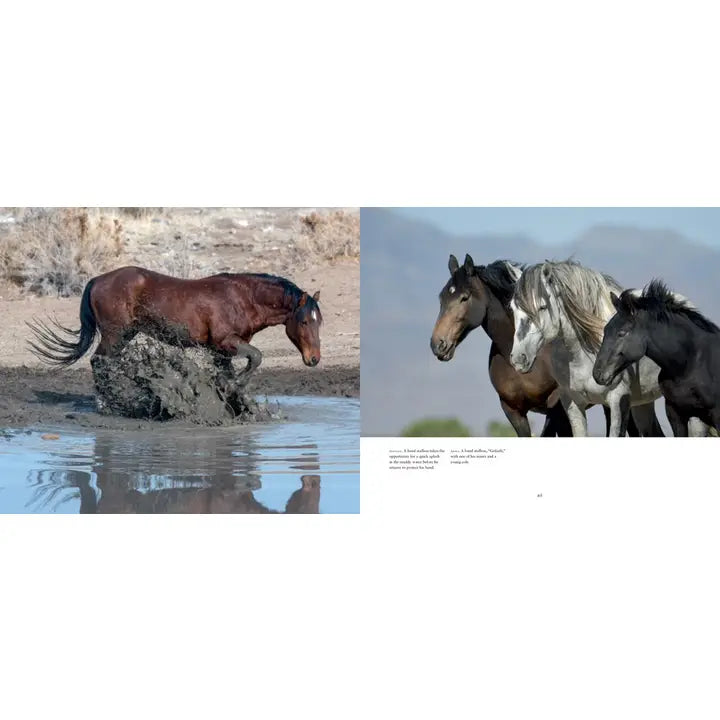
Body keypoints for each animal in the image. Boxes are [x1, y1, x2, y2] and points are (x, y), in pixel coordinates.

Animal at [27, 266, 323, 376]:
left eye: (319, 321)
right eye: (305, 322)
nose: (314, 359)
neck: (243, 297)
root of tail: (98, 280)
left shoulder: (223, 350)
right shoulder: (225, 342)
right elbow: (257, 357)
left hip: (125, 335)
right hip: (114, 335)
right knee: (99, 362)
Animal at [508, 259, 672, 437]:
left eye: (543, 307)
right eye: (512, 308)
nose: (518, 359)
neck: (582, 355)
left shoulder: (618, 400)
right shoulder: (572, 403)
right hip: (643, 402)